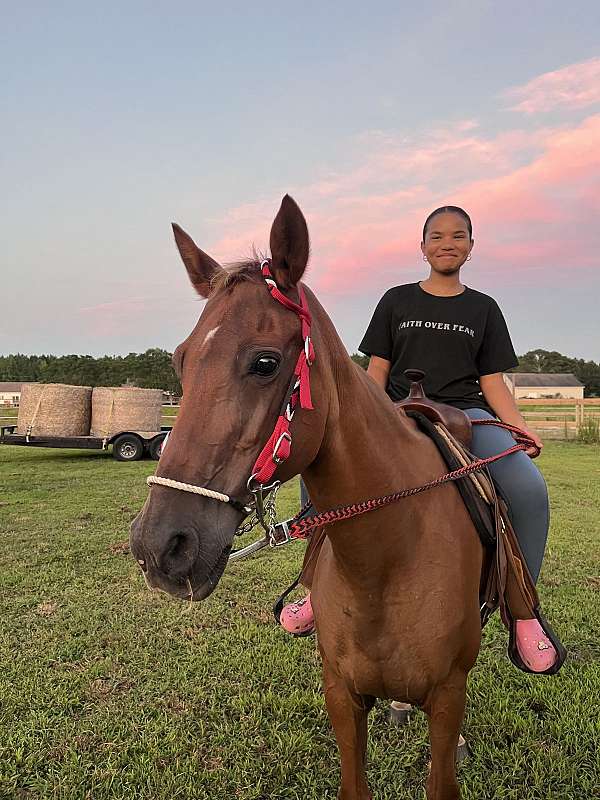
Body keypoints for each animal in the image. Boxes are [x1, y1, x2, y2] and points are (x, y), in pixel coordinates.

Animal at [130, 195, 482, 800]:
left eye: (266, 362)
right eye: (180, 360)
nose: (160, 546)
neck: (387, 560)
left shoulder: (446, 697)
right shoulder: (341, 693)